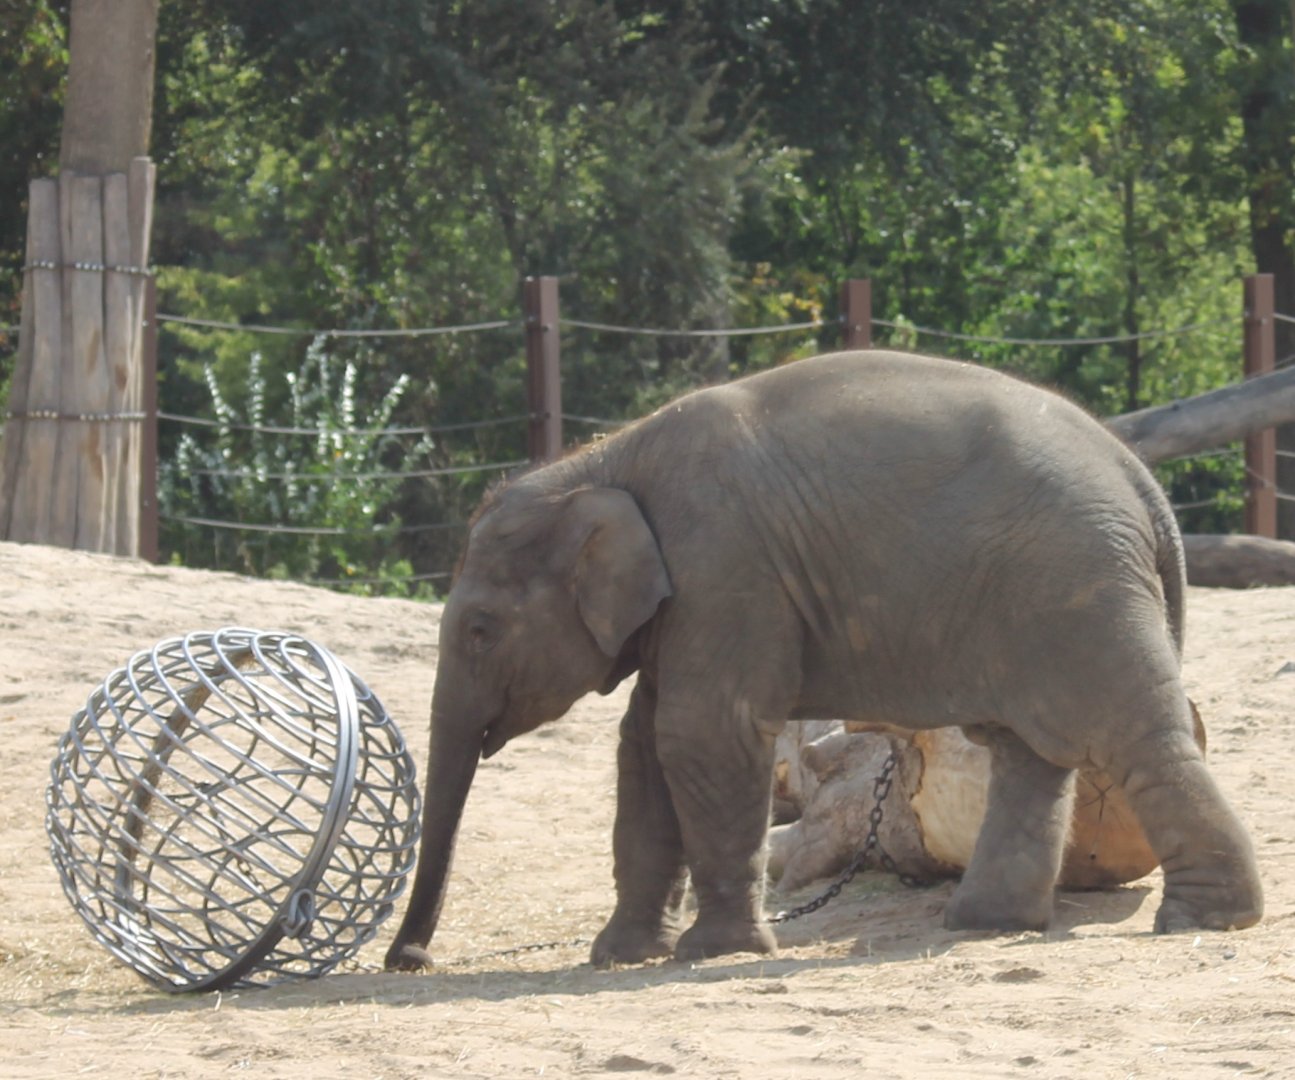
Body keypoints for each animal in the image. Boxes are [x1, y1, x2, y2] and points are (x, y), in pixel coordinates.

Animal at [384, 349, 1263, 971]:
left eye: (479, 631)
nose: (410, 959)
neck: (600, 463)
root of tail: (1140, 480)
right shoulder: (687, 602)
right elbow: (642, 747)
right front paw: (619, 956)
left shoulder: (723, 568)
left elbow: (701, 735)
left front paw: (714, 954)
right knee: (1026, 754)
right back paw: (983, 924)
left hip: (1076, 589)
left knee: (1127, 736)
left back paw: (1205, 920)